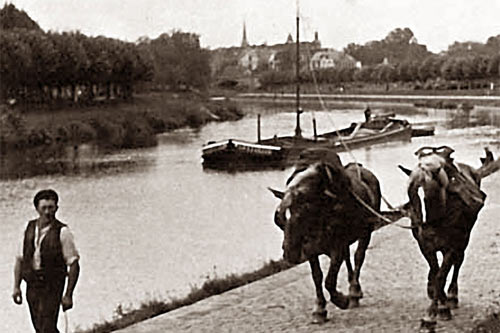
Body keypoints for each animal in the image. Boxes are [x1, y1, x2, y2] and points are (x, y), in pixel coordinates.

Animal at [270, 148, 382, 322]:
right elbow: (317, 276)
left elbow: (330, 280)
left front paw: (341, 300)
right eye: (279, 220)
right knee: (348, 258)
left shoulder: (337, 245)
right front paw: (319, 309)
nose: (290, 253)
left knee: (358, 256)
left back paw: (354, 291)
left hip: (366, 231)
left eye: (305, 210)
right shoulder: (310, 249)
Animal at [402, 146, 500, 330]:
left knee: (458, 261)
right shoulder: (425, 245)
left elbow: (442, 274)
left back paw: (452, 296)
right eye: (411, 191)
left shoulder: (453, 243)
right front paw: (440, 303)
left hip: (463, 238)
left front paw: (432, 315)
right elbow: (436, 272)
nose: (421, 224)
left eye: (430, 191)